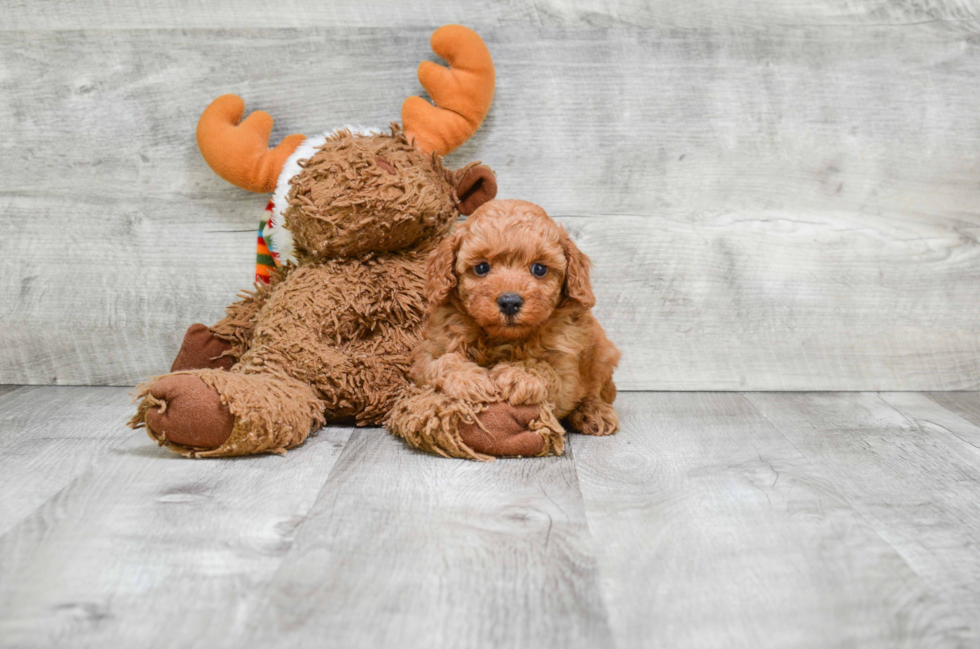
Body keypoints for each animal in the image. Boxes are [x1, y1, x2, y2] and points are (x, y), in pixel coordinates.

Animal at [414, 200, 620, 448]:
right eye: (481, 267)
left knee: (597, 391)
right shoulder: (427, 354)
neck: (503, 338)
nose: (510, 302)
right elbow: (443, 362)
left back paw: (593, 412)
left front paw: (518, 375)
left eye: (539, 269)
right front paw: (471, 380)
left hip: (602, 355)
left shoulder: (567, 369)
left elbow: (545, 368)